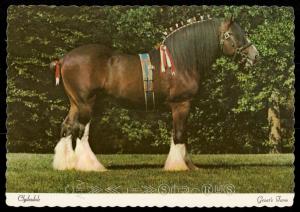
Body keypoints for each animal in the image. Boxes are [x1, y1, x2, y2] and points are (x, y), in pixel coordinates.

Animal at [50, 15, 258, 171]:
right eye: (234, 35)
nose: (255, 55)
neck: (181, 61)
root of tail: (64, 59)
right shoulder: (181, 103)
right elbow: (179, 134)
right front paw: (177, 166)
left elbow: (180, 133)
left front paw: (189, 165)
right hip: (86, 102)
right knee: (80, 131)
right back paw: (91, 166)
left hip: (75, 103)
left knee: (67, 127)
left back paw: (65, 165)